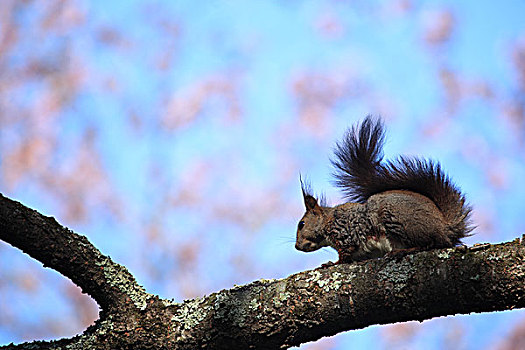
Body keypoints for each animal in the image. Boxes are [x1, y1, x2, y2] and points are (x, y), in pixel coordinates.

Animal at [294, 116, 474, 264]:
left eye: (301, 224)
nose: (297, 246)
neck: (328, 221)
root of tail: (445, 228)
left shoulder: (345, 233)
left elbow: (344, 255)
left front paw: (332, 263)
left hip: (397, 219)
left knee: (430, 243)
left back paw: (402, 251)